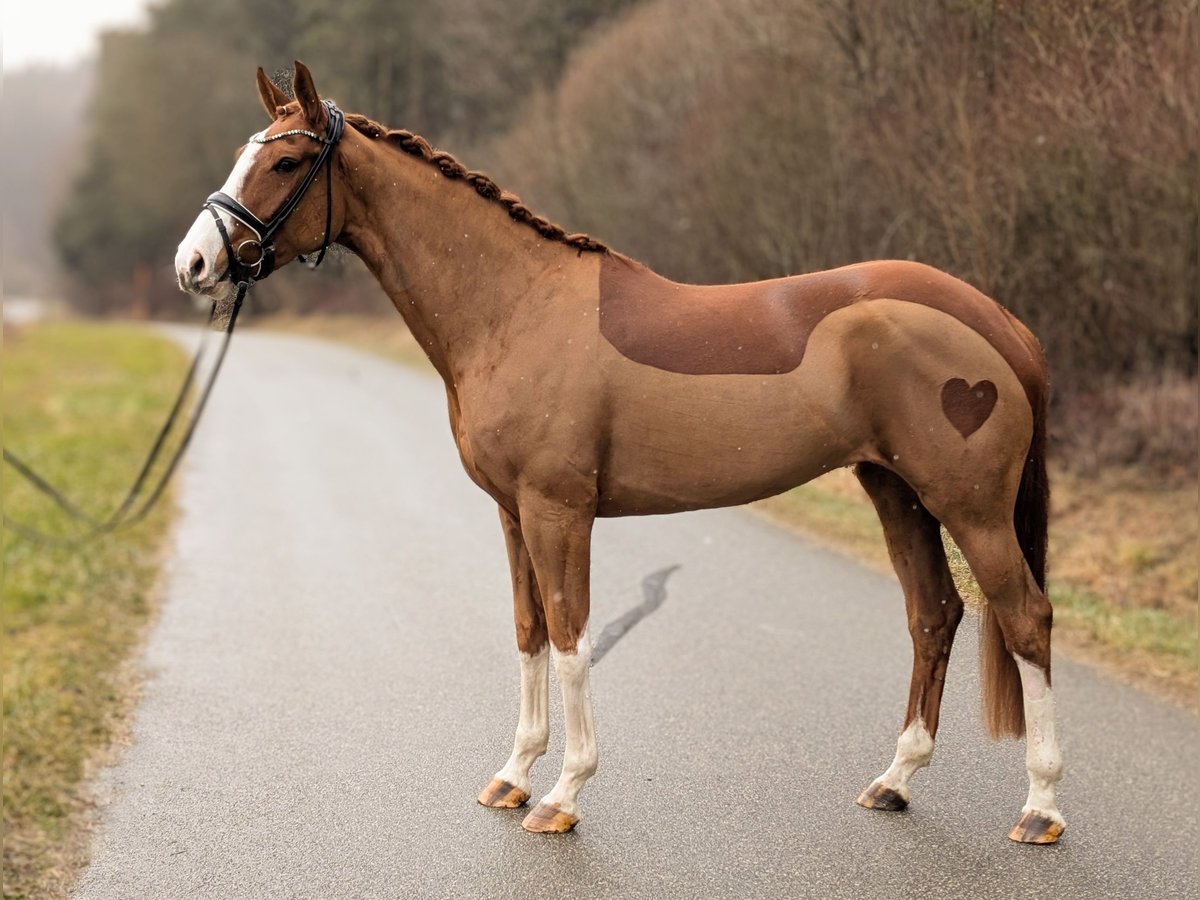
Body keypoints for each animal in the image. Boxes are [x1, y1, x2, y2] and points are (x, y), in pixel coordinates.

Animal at [175, 63, 1060, 844]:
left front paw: (563, 795)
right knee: (934, 614)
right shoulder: (512, 514)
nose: (194, 264)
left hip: (970, 508)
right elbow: (529, 632)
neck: (515, 307)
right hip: (895, 492)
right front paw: (513, 776)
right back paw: (895, 782)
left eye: (285, 160)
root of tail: (999, 323)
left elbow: (572, 641)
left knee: (1025, 616)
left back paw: (1041, 809)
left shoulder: (557, 511)